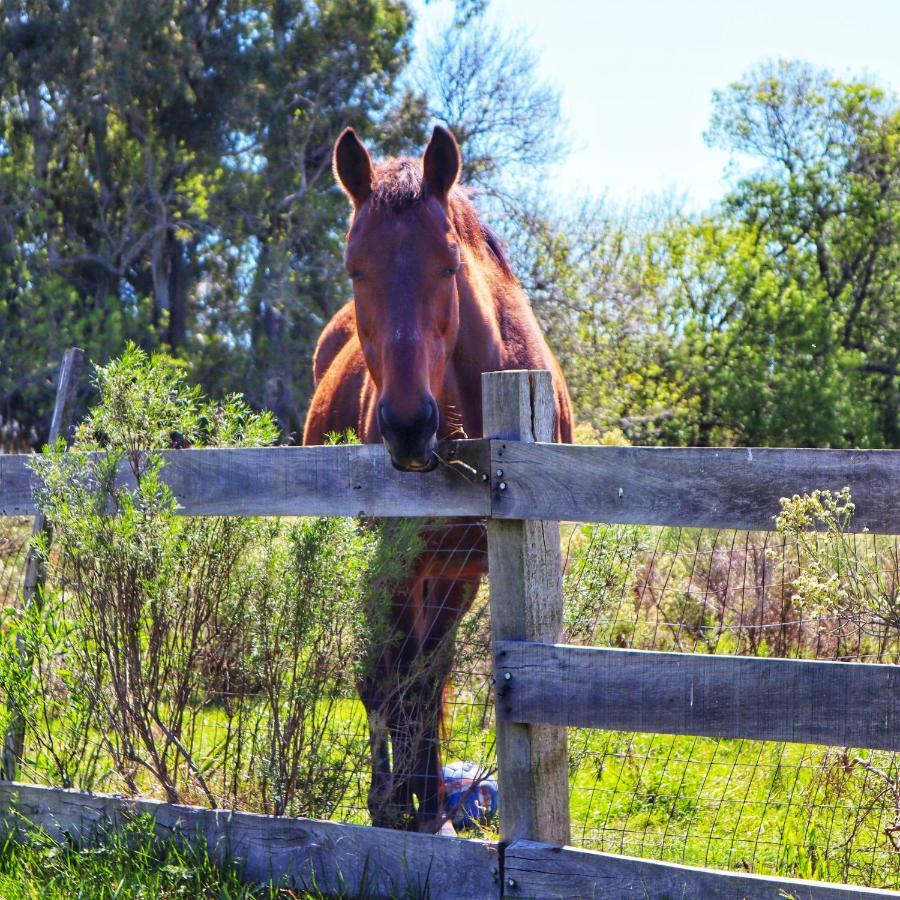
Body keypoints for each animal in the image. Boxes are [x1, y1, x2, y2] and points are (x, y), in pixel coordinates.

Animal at [302, 123, 568, 832]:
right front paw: (394, 805)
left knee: (423, 672)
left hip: (445, 572)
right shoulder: (392, 559)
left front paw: (427, 810)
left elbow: (423, 677)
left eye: (448, 266)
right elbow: (389, 678)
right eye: (355, 268)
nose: (406, 425)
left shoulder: (470, 567)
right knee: (389, 677)